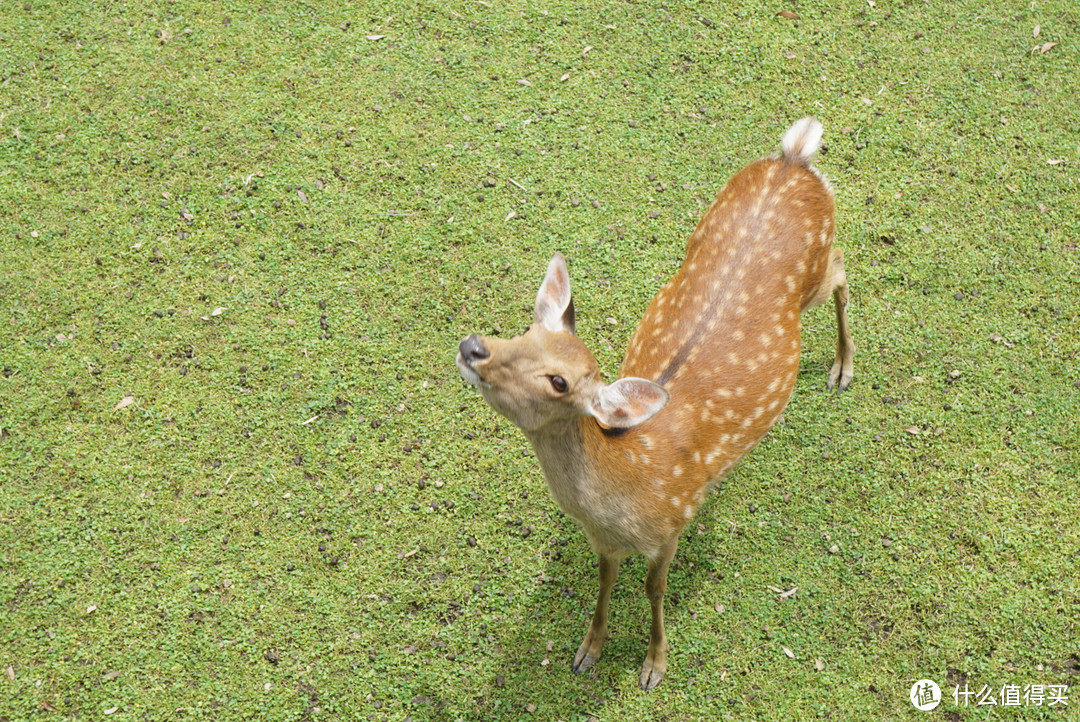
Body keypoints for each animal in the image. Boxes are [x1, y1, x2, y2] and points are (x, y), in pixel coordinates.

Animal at [453, 117, 851, 686]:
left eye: (559, 381)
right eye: (526, 332)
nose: (473, 348)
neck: (627, 495)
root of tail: (795, 157)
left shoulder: (672, 524)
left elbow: (653, 588)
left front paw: (654, 663)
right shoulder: (604, 542)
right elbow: (604, 581)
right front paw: (588, 650)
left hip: (817, 274)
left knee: (842, 269)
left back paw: (844, 367)